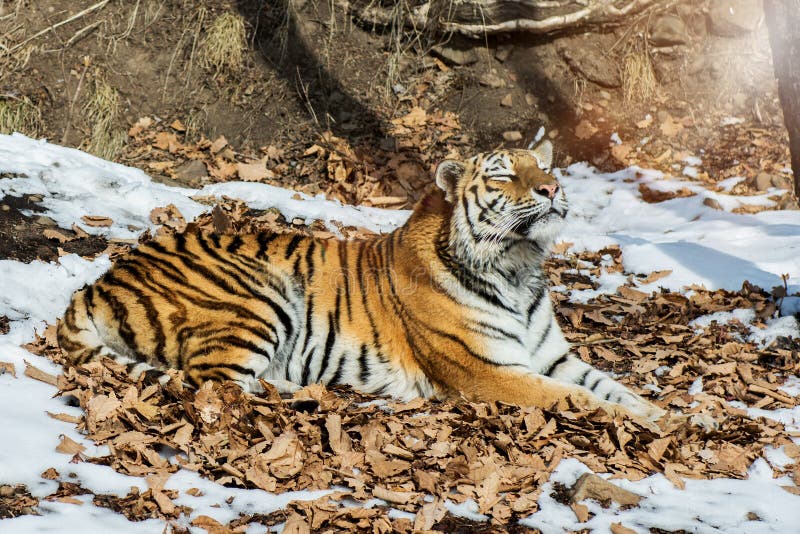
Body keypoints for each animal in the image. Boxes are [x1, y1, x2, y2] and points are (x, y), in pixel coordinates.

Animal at [56, 144, 704, 430]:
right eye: (504, 175)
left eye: (545, 168)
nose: (551, 190)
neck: (518, 266)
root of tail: (99, 280)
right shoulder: (490, 372)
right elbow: (578, 400)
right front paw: (659, 424)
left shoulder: (553, 357)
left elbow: (612, 386)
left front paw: (679, 414)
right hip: (258, 297)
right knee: (212, 386)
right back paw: (316, 396)